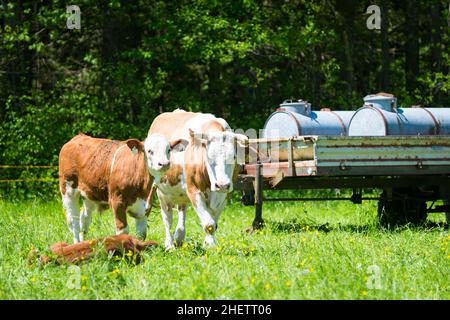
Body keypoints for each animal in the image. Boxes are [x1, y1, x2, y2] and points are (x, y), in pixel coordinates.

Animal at [147, 111, 246, 249]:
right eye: (209, 157)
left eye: (234, 157)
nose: (222, 184)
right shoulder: (194, 190)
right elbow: (209, 224)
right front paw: (210, 245)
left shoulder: (225, 195)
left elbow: (213, 221)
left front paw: (208, 243)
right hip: (162, 193)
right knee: (167, 219)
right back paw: (169, 244)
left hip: (180, 194)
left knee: (181, 210)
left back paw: (179, 236)